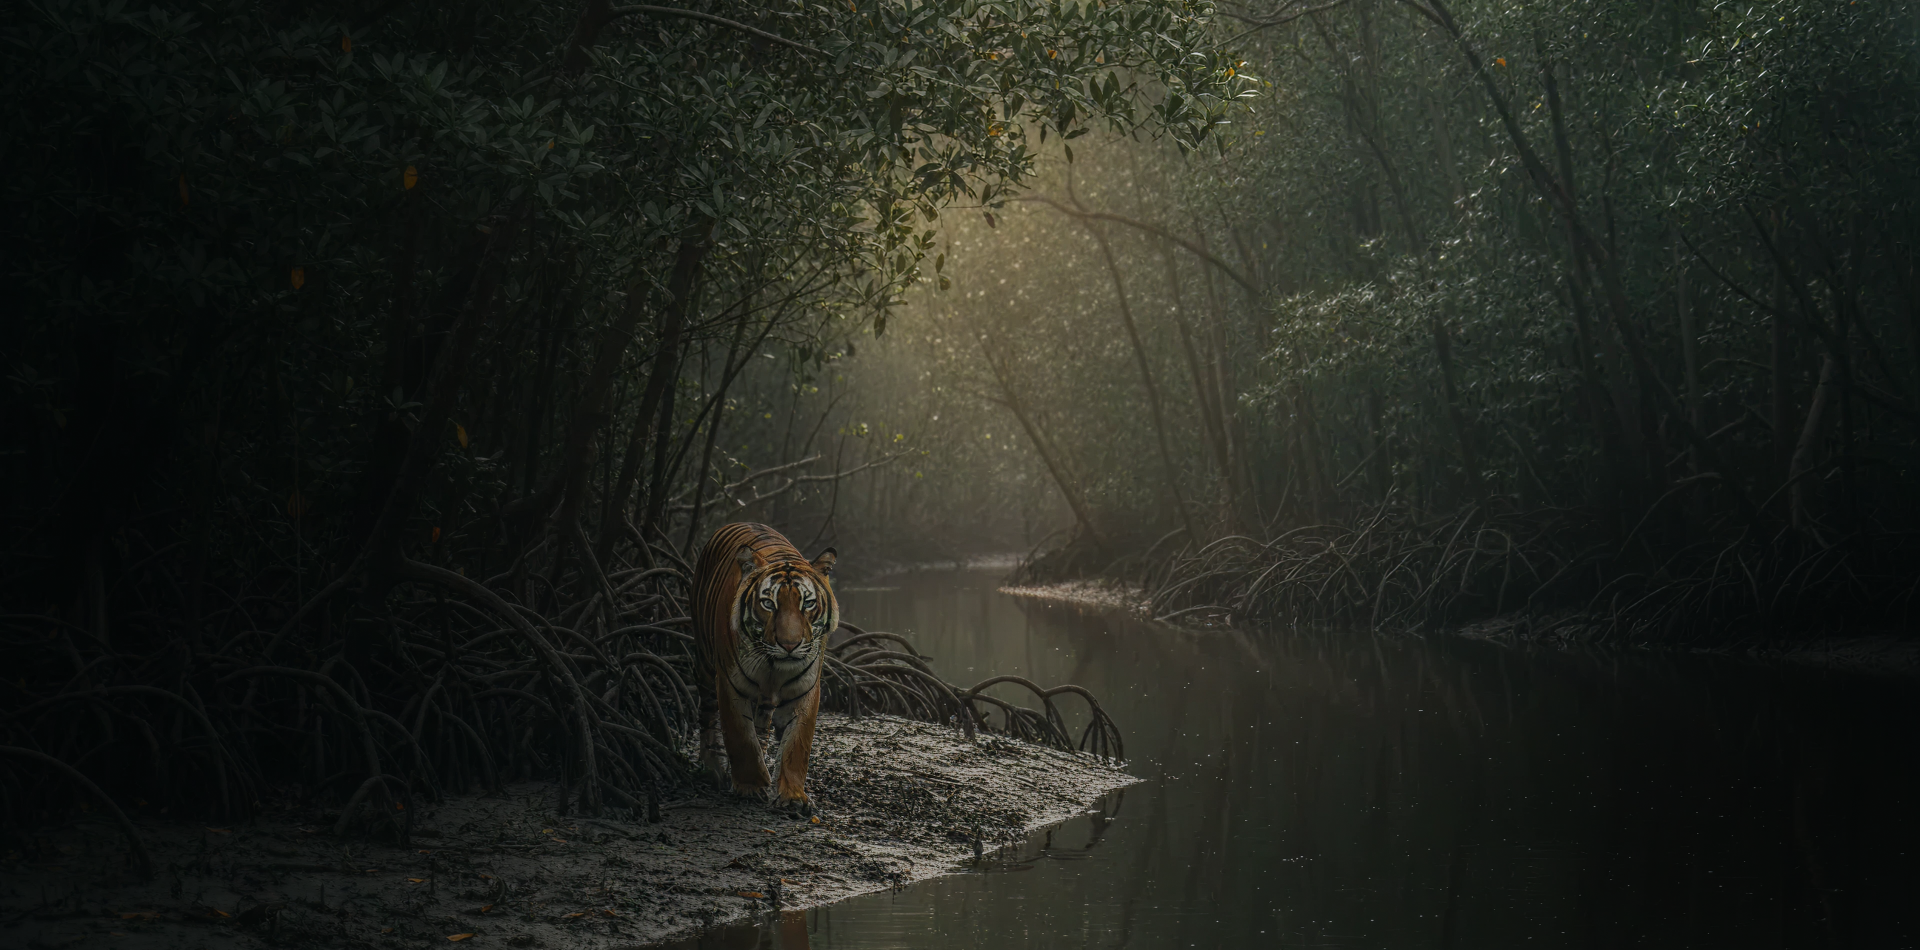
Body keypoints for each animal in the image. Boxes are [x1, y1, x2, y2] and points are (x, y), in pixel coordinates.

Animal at [691, 522, 838, 813]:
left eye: (808, 603)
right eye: (769, 603)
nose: (789, 645)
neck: (773, 669)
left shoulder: (805, 690)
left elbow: (797, 745)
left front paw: (793, 796)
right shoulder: (729, 684)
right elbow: (741, 738)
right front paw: (750, 787)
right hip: (704, 662)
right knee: (708, 715)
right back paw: (713, 768)